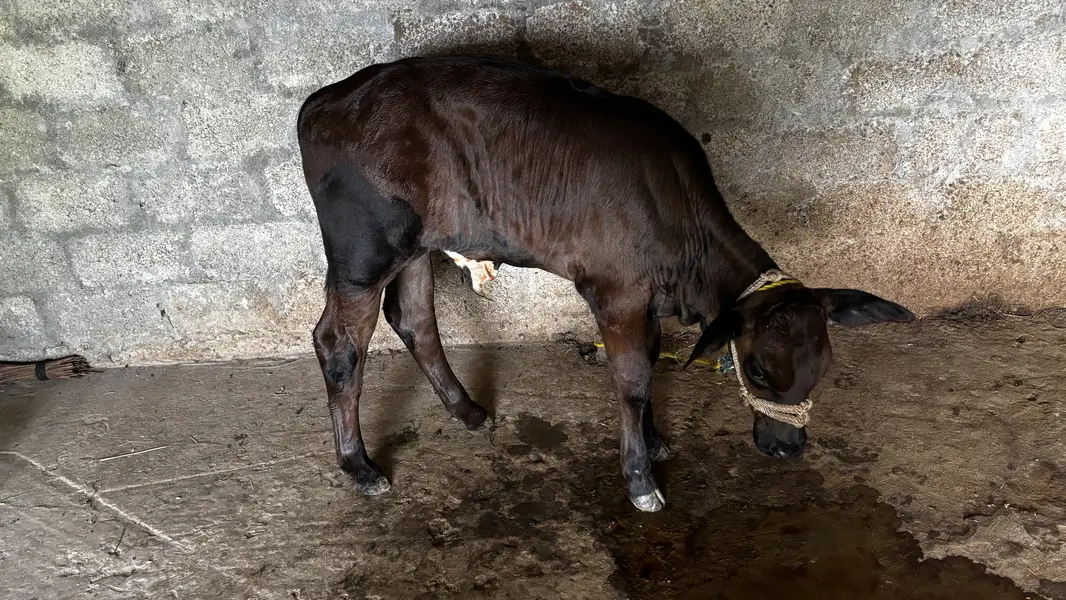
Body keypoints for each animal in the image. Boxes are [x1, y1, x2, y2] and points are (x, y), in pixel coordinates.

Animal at [296, 55, 915, 513]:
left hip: (416, 244)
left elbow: (650, 359)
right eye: (758, 370)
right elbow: (633, 380)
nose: (788, 449)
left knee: (416, 320)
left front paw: (656, 440)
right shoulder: (617, 292)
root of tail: (328, 96)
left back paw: (467, 411)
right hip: (362, 251)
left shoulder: (647, 300)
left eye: (825, 367)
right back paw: (360, 466)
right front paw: (640, 479)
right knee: (338, 344)